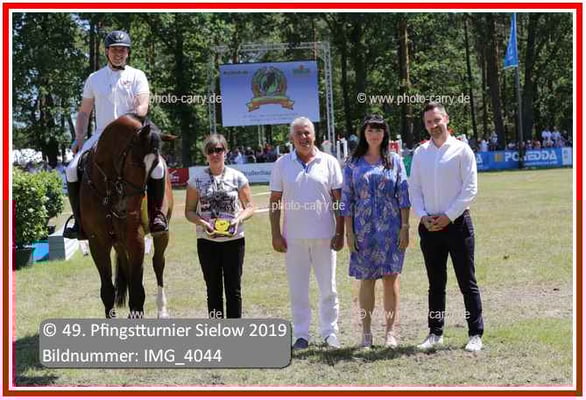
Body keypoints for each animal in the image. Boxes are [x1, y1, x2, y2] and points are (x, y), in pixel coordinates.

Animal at [79, 114, 174, 318]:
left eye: (155, 166)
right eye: (134, 163)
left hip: (161, 234)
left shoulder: (135, 238)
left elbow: (138, 289)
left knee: (158, 264)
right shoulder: (97, 242)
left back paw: (162, 310)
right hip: (118, 242)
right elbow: (107, 290)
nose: (125, 209)